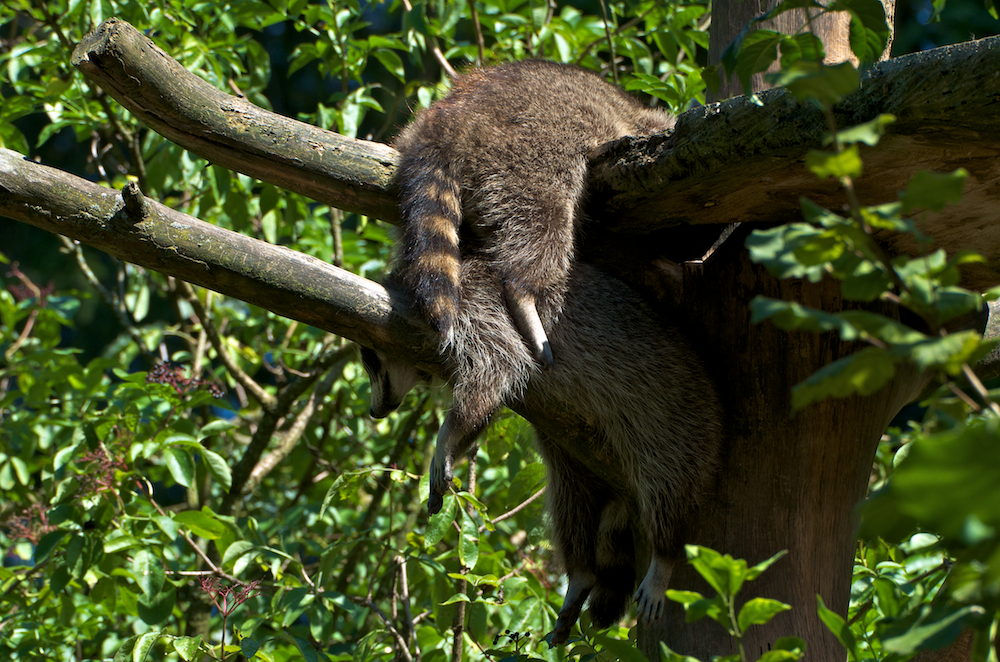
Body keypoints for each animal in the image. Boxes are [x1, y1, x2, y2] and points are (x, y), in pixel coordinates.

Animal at [364, 260, 724, 648]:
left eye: (370, 362)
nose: (373, 412)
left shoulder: (478, 308)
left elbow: (495, 370)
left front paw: (446, 441)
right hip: (582, 452)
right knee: (570, 493)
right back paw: (581, 571)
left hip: (678, 422)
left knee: (664, 484)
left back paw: (664, 551)